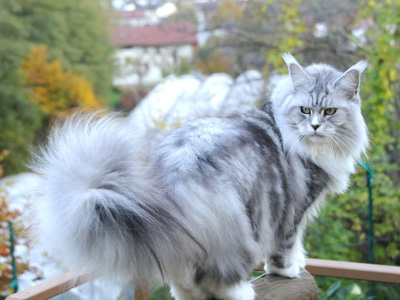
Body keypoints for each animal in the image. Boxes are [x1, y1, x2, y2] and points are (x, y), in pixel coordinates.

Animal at [32, 54, 368, 300]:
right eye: (304, 110)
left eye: (330, 112)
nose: (314, 127)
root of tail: (170, 175)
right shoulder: (294, 209)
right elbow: (286, 248)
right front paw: (290, 271)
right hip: (236, 232)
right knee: (222, 278)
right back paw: (242, 292)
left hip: (190, 243)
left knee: (186, 282)